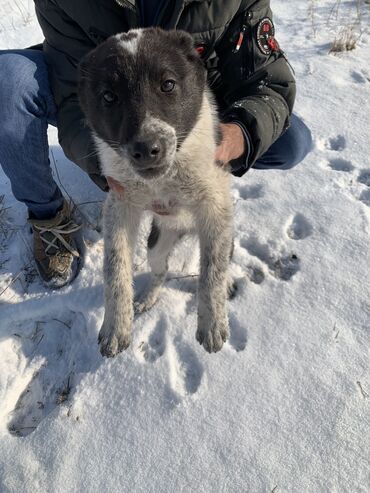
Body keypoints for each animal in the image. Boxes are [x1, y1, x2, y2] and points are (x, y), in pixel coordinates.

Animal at [78, 26, 234, 356]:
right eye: (109, 96)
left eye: (168, 84)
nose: (146, 149)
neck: (166, 180)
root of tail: (186, 230)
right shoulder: (120, 203)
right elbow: (114, 268)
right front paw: (115, 327)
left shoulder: (215, 204)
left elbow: (212, 272)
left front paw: (212, 324)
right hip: (156, 244)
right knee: (160, 271)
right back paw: (148, 298)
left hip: (225, 231)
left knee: (223, 260)